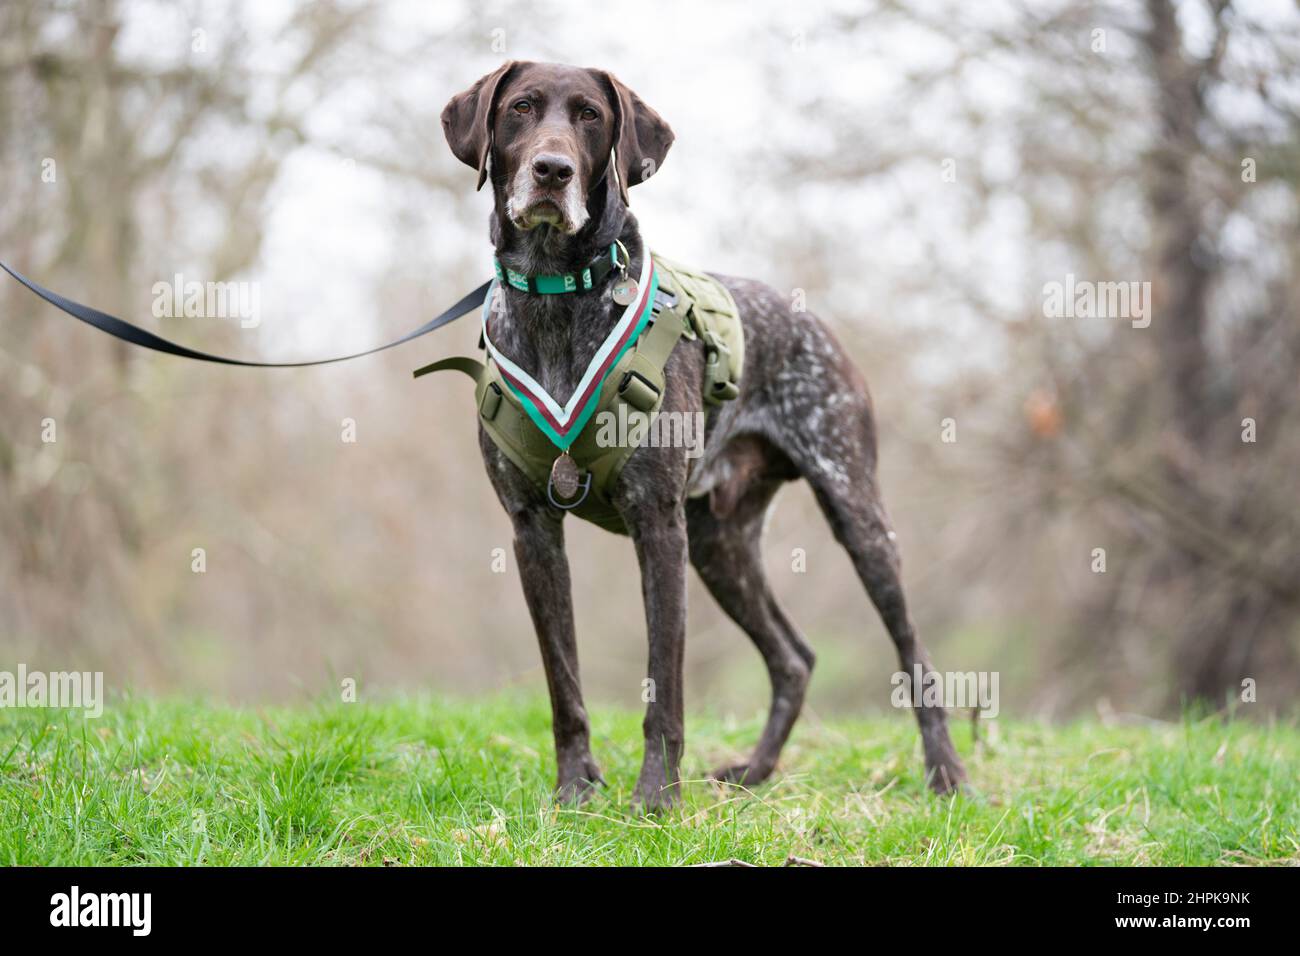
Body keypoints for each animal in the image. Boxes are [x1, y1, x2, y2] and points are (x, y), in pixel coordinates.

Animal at [444, 59, 967, 806]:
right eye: (520, 108)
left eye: (590, 116)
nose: (552, 171)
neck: (557, 295)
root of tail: (810, 319)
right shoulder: (532, 530)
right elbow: (563, 683)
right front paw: (575, 790)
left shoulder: (659, 524)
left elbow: (665, 684)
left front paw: (657, 799)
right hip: (722, 544)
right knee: (795, 658)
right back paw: (754, 772)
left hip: (855, 515)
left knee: (913, 653)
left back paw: (947, 773)